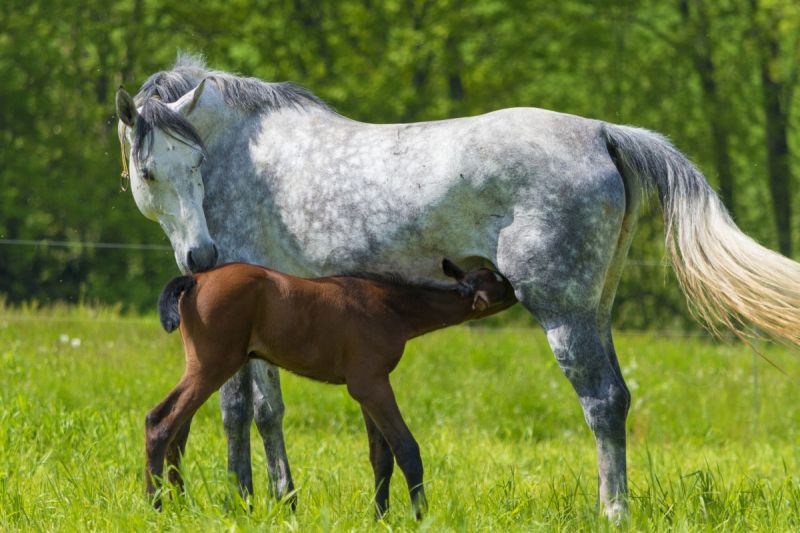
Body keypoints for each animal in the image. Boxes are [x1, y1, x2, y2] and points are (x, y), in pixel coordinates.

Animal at [147, 259, 516, 518]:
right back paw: (156, 506)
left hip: (207, 367)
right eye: (498, 281)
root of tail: (195, 279)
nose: (516, 283)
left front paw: (380, 516)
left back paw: (179, 505)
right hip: (213, 366)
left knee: (178, 430)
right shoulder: (371, 385)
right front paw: (420, 516)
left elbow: (380, 456)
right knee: (160, 421)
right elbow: (406, 449)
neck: (389, 307)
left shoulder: (368, 387)